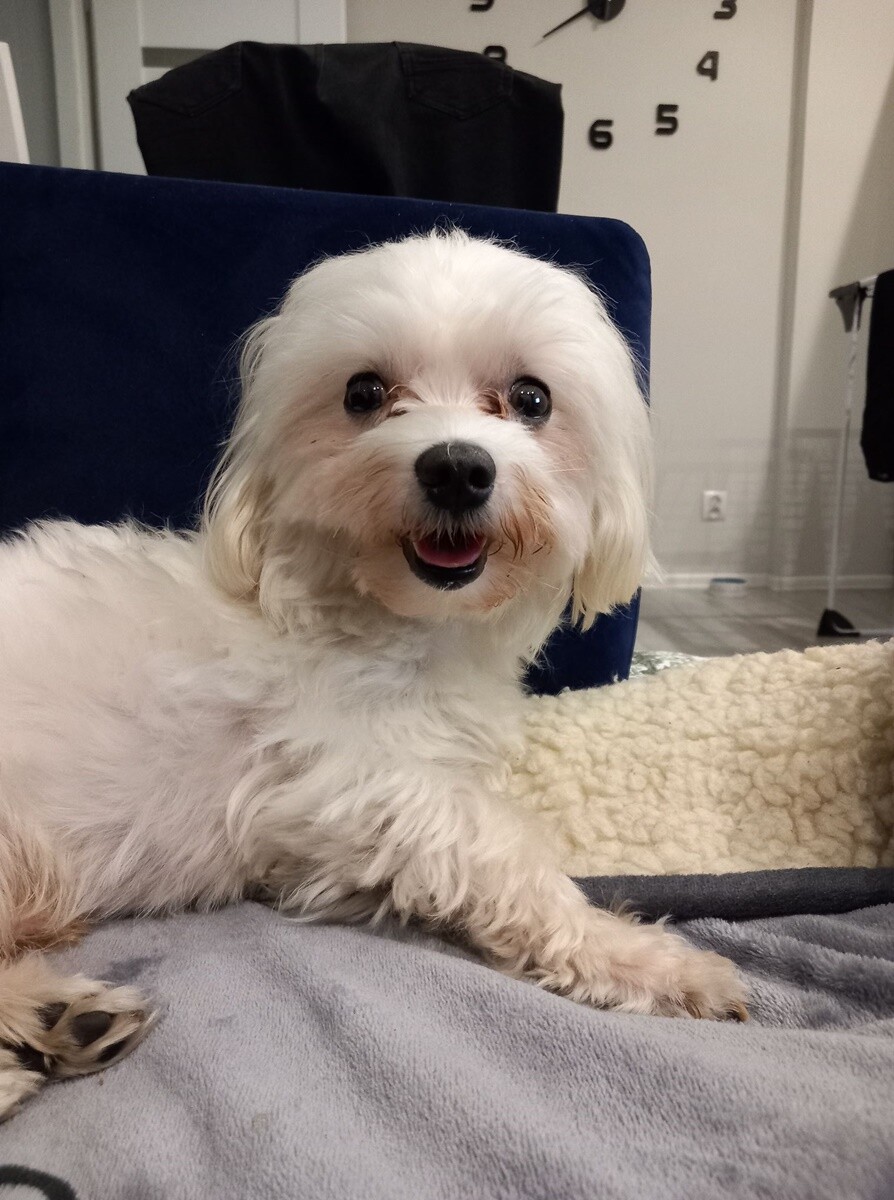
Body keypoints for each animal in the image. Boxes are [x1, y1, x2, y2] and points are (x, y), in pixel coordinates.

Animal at [0, 231, 746, 1117]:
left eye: (531, 398)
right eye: (363, 392)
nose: (457, 469)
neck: (394, 625)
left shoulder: (322, 850)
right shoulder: (350, 780)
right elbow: (503, 852)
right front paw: (647, 961)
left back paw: (54, 1020)